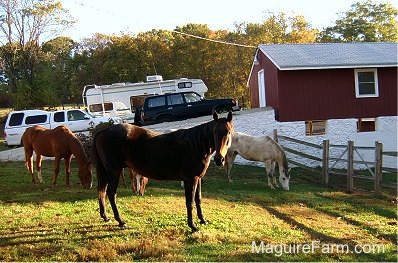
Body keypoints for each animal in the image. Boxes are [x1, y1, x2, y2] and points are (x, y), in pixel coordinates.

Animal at [93, 111, 233, 233]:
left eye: (228, 132)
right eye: (214, 131)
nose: (219, 159)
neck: (195, 144)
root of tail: (102, 132)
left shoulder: (197, 178)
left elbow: (198, 199)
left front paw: (203, 220)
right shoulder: (190, 179)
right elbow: (190, 202)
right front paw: (193, 226)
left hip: (107, 172)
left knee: (102, 191)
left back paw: (106, 217)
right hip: (114, 172)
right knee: (111, 194)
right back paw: (121, 221)